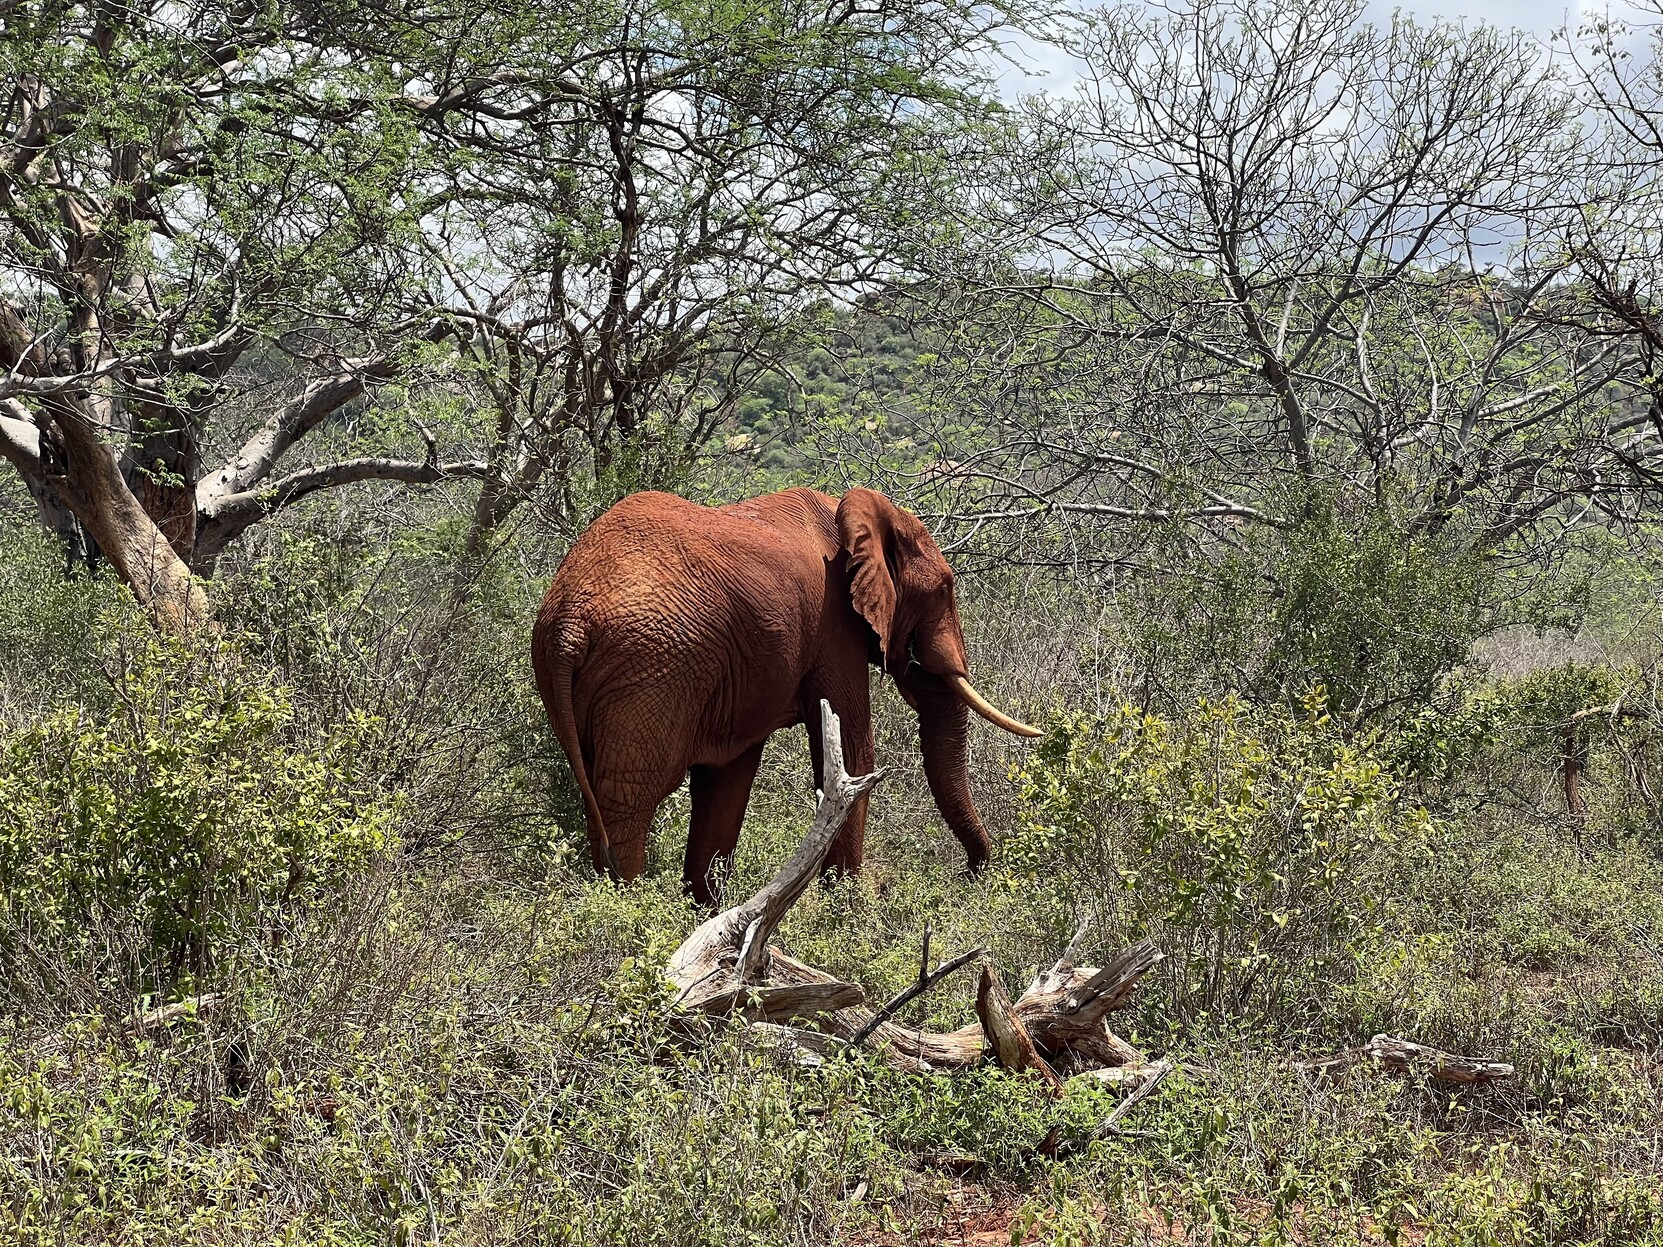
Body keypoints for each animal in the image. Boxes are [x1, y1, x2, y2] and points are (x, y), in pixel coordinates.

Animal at [532, 482, 1037, 904]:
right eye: (945, 589)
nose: (969, 874)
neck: (854, 512)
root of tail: (569, 619)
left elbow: (728, 777)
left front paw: (710, 914)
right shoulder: (834, 628)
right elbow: (853, 755)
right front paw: (846, 913)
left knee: (598, 797)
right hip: (651, 665)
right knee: (629, 801)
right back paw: (626, 910)